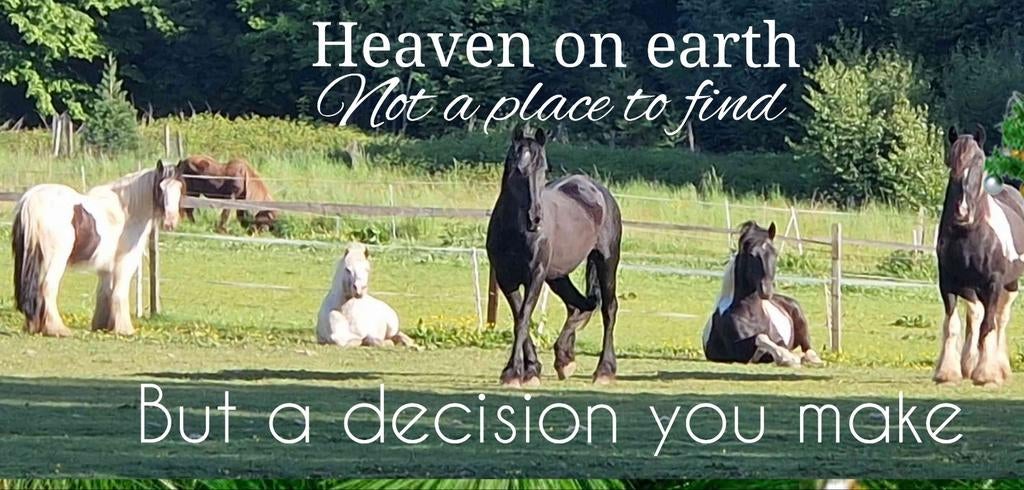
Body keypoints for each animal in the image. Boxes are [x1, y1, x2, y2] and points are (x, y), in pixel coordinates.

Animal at [12, 161, 185, 336]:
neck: (126, 210)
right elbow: (119, 292)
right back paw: (58, 329)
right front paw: (124, 329)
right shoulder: (124, 263)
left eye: (179, 187)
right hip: (55, 260)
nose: (170, 222)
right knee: (47, 287)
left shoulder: (105, 268)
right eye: (160, 188)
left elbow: (104, 294)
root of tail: (31, 199)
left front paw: (103, 325)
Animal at [486, 126, 623, 387]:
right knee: (580, 305)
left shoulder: (536, 276)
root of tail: (599, 191)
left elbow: (523, 317)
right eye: (518, 168)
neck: (515, 231)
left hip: (606, 262)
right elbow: (520, 318)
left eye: (544, 169)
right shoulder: (506, 279)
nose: (535, 218)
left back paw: (604, 370)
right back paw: (564, 359)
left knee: (608, 309)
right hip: (558, 276)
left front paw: (514, 372)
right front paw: (530, 369)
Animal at [702, 221, 822, 367]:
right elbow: (761, 338)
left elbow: (775, 343)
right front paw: (786, 358)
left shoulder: (779, 340)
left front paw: (788, 356)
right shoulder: (739, 349)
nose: (766, 290)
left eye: (775, 253)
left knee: (807, 345)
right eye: (752, 255)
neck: (750, 313)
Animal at [934, 125, 1024, 386]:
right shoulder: (949, 284)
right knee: (976, 315)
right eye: (952, 160)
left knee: (1000, 319)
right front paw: (947, 372)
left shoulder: (993, 284)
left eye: (979, 161)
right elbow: (953, 325)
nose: (962, 212)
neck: (969, 232)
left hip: (1010, 285)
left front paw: (986, 374)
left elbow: (988, 326)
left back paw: (999, 367)